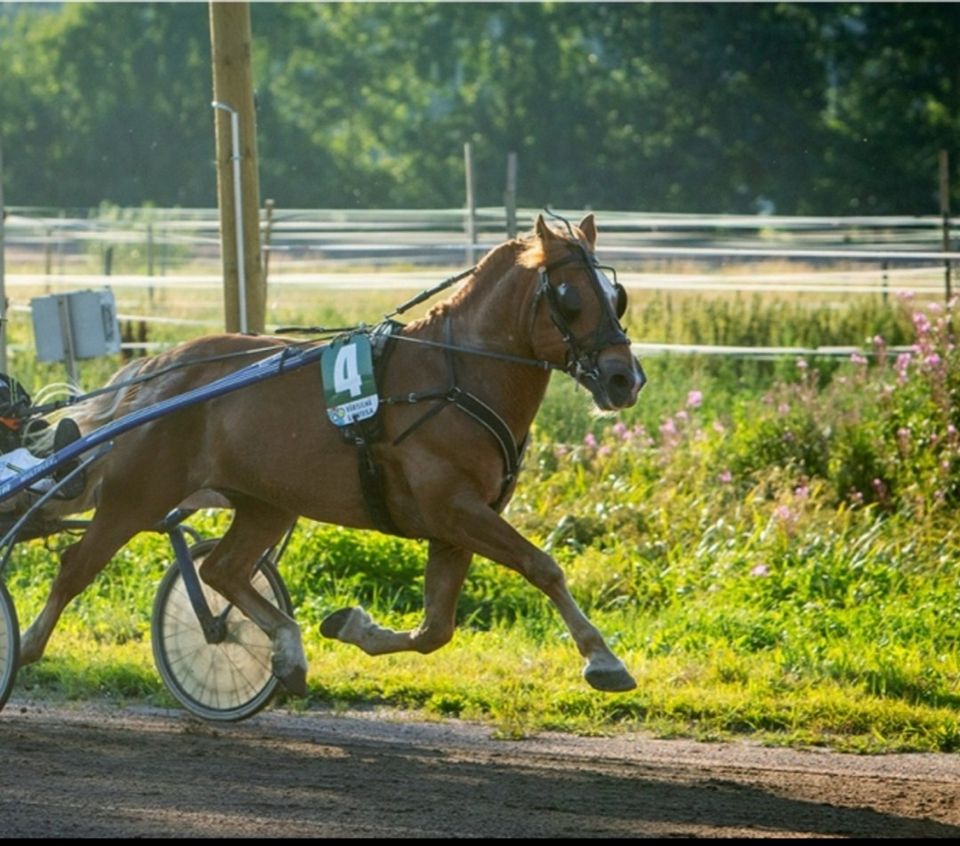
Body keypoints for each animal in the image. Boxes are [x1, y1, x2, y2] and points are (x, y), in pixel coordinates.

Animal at [18, 215, 644, 700]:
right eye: (570, 297)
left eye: (616, 297)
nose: (624, 378)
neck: (454, 375)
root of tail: (155, 370)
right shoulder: (454, 508)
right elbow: (542, 565)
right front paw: (603, 659)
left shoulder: (456, 523)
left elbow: (435, 630)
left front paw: (351, 625)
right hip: (137, 494)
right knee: (75, 567)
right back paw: (25, 648)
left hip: (266, 503)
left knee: (222, 570)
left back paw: (288, 652)